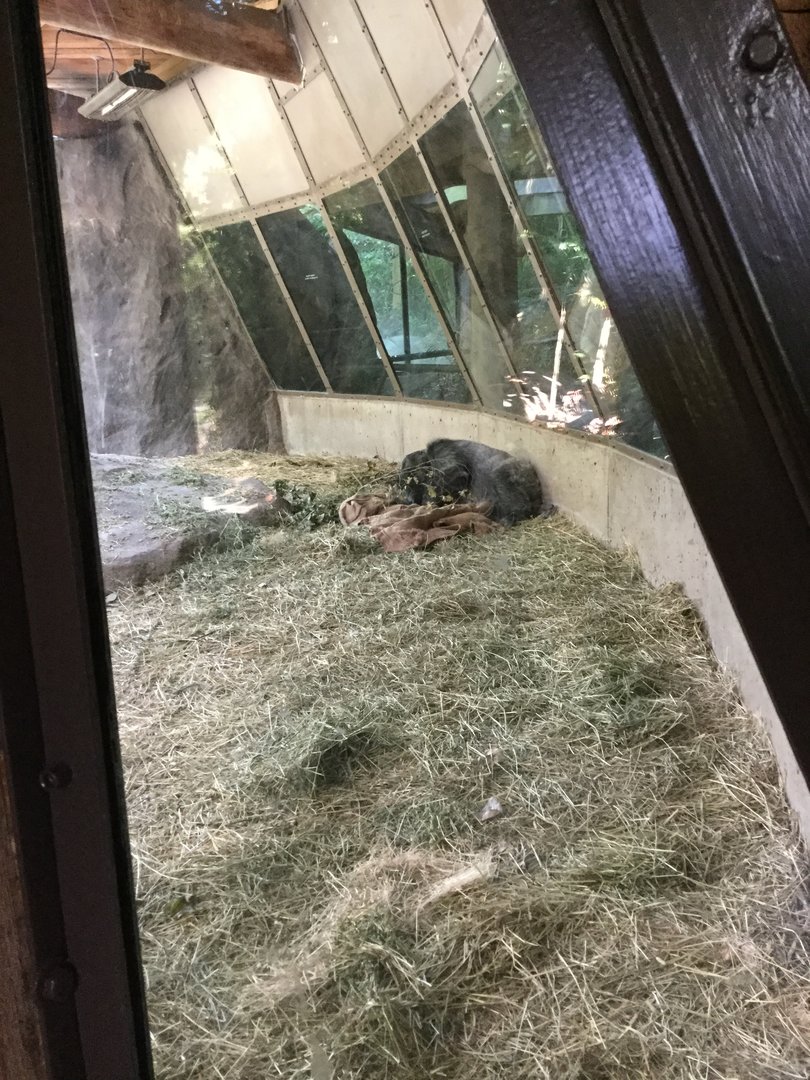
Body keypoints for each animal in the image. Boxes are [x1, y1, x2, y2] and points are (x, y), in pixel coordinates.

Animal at [397, 439, 544, 525]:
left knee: (500, 474)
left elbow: (455, 474)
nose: (409, 498)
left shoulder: (443, 453)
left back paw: (511, 516)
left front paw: (428, 503)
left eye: (410, 478)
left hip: (521, 476)